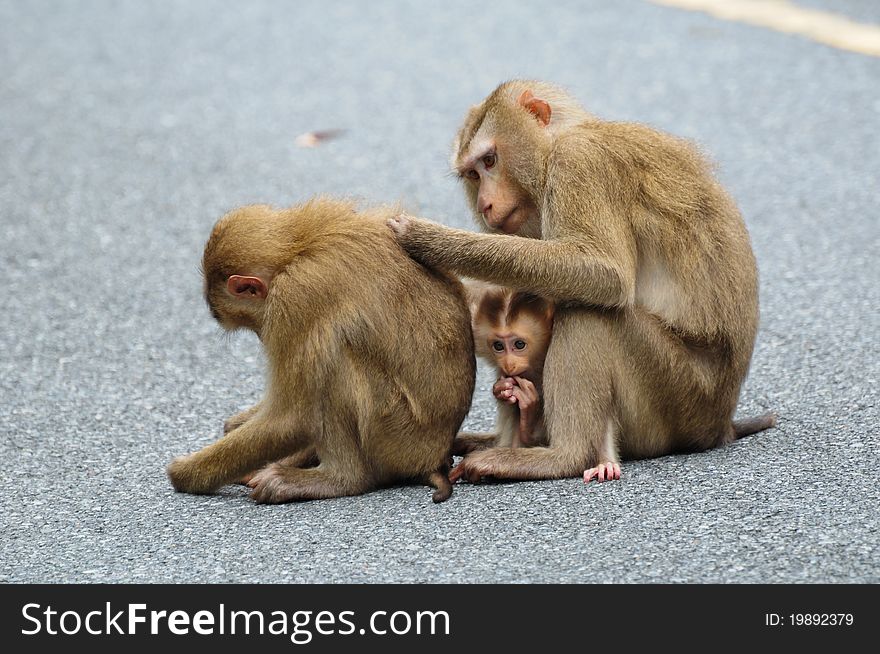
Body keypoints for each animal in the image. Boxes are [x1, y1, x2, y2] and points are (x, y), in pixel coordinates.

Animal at [168, 197, 478, 504]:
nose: (262, 336)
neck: (298, 250)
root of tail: (434, 456)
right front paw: (237, 422)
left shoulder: (294, 296)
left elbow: (291, 417)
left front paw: (186, 473)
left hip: (396, 437)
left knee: (335, 356)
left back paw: (340, 479)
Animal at [388, 79, 772, 484]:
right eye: (473, 175)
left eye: (490, 161)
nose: (485, 205)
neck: (557, 143)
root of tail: (719, 424)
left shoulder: (579, 163)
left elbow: (605, 272)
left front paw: (430, 240)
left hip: (680, 396)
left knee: (590, 313)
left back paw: (561, 457)